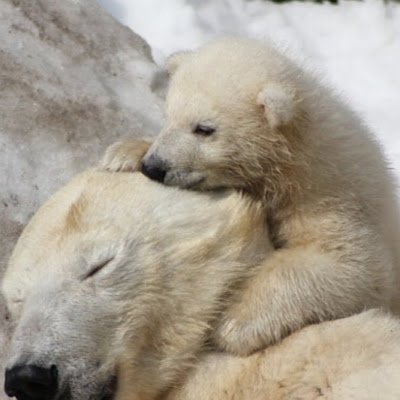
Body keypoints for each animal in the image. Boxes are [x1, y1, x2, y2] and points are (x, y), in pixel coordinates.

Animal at [103, 37, 400, 356]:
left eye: (204, 129)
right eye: (168, 116)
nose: (154, 166)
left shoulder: (333, 197)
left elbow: (352, 264)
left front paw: (232, 323)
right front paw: (123, 153)